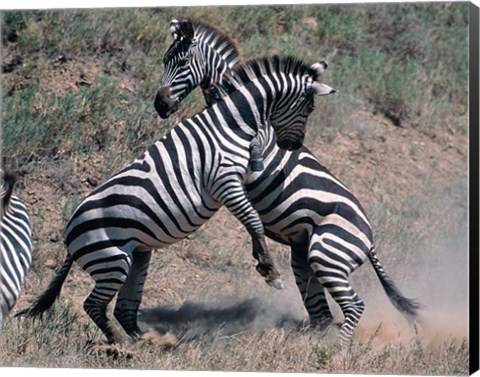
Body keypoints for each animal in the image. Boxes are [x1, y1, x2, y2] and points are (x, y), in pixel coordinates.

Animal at [19, 55, 334, 344]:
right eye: (309, 108)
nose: (292, 145)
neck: (231, 122)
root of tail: (69, 234)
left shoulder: (239, 176)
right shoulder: (224, 181)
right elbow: (253, 221)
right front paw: (269, 270)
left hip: (136, 256)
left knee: (123, 306)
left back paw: (145, 339)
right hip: (112, 261)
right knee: (93, 304)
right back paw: (119, 343)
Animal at [154, 19, 420, 346]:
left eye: (182, 63)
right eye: (164, 61)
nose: (160, 105)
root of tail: (370, 239)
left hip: (327, 254)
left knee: (350, 306)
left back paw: (333, 351)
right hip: (306, 258)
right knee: (321, 313)